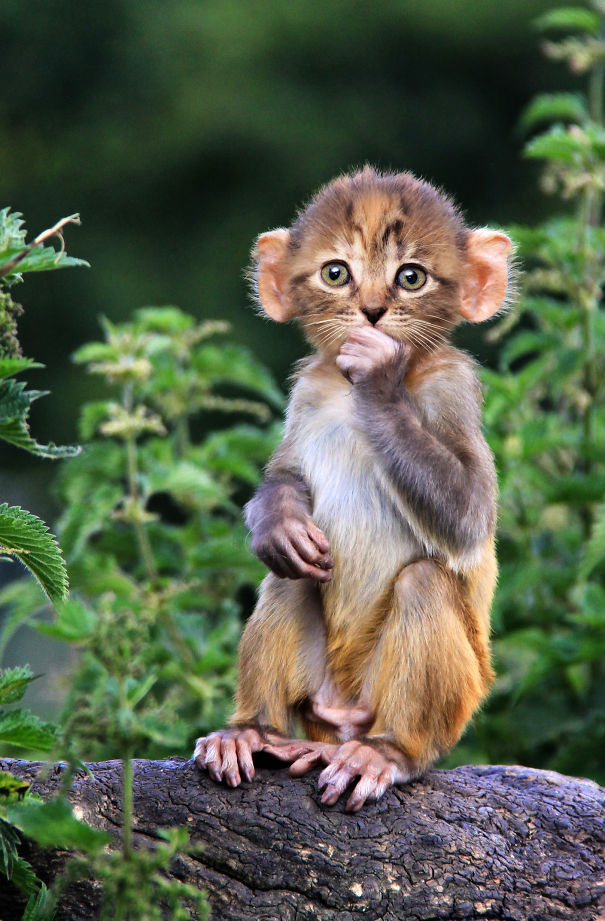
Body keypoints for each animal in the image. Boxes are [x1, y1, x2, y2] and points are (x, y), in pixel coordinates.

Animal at [194, 166, 511, 811]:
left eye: (410, 277)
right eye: (336, 272)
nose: (371, 311)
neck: (345, 393)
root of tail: (340, 721)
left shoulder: (453, 387)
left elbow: (468, 516)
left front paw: (380, 378)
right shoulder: (308, 392)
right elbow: (287, 476)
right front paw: (278, 522)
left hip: (450, 701)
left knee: (424, 582)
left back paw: (386, 752)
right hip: (316, 699)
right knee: (288, 579)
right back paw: (252, 732)